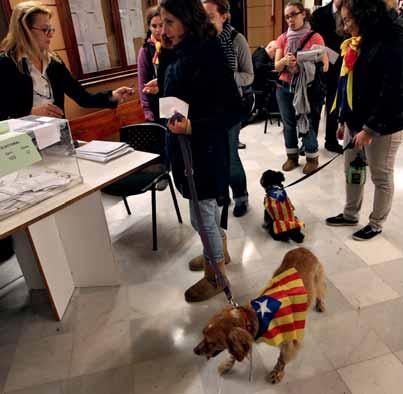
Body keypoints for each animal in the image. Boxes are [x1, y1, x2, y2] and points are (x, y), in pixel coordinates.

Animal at [194, 248, 326, 384]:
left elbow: (282, 359)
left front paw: (276, 373)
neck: (253, 317)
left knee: (320, 292)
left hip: (317, 279)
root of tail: (302, 249)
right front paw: (227, 365)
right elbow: (234, 355)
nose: (195, 351)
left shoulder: (288, 340)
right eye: (203, 334)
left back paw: (320, 304)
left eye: (212, 342)